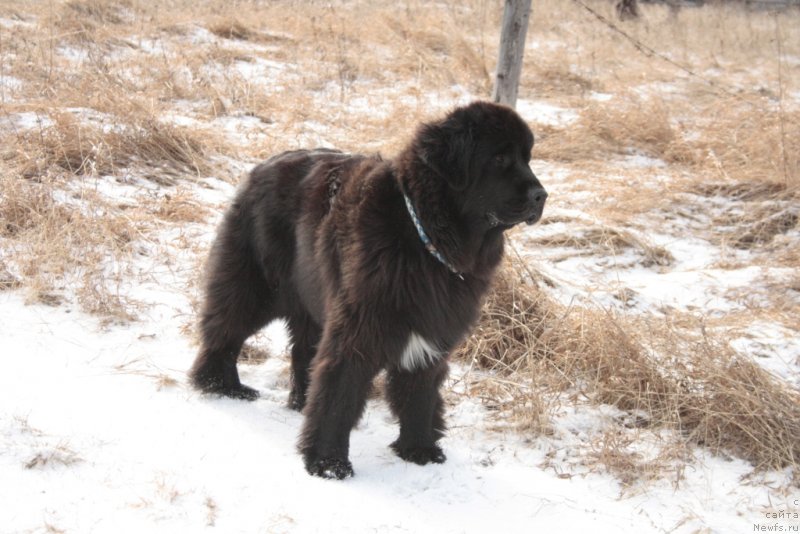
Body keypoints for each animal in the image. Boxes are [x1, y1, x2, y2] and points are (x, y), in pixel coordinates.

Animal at [191, 100, 548, 482]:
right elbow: (340, 393)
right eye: (499, 158)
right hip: (256, 286)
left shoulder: (432, 332)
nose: (541, 195)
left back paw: (300, 402)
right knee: (225, 329)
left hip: (313, 296)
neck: (424, 237)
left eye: (528, 158)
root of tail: (263, 165)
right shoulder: (358, 329)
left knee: (303, 350)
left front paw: (419, 450)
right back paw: (221, 385)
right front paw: (328, 463)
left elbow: (420, 393)